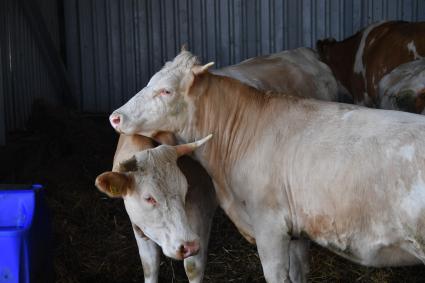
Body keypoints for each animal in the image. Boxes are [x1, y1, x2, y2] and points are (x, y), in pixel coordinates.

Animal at [95, 135, 217, 283]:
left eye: (185, 189)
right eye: (148, 198)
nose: (189, 246)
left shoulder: (201, 211)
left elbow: (193, 268)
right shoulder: (140, 227)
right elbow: (149, 266)